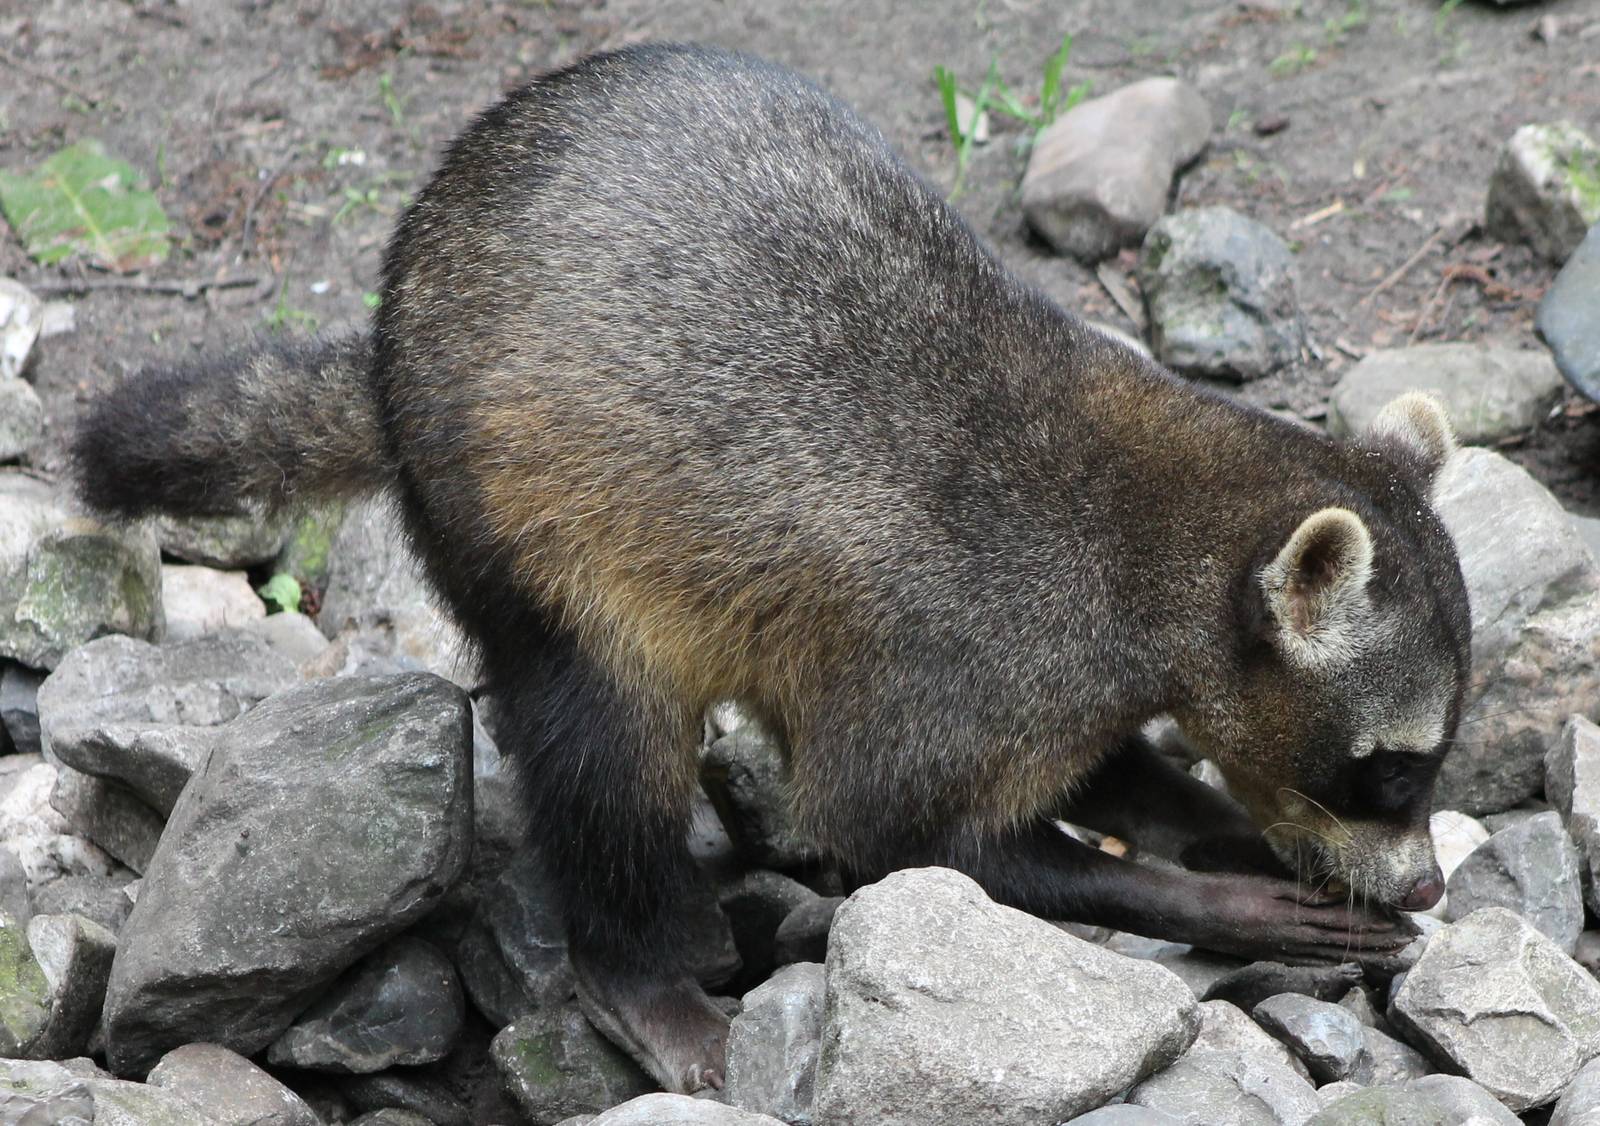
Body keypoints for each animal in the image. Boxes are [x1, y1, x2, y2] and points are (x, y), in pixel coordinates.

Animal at [74, 44, 1469, 1093]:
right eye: (1392, 766)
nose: (1433, 878)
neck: (1166, 532)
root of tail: (383, 339)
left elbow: (1116, 770)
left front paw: (1227, 828)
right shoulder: (961, 648)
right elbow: (900, 834)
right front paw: (1214, 896)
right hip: (525, 537)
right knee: (606, 751)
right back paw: (637, 966)